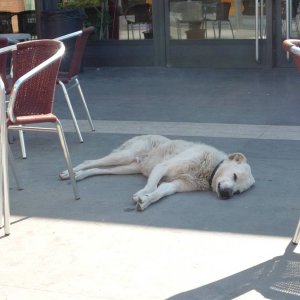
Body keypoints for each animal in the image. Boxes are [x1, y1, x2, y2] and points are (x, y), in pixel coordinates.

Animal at [59, 135, 254, 210]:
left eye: (238, 192)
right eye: (234, 176)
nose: (228, 194)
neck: (208, 170)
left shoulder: (175, 185)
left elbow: (160, 192)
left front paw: (145, 201)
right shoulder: (162, 167)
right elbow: (151, 186)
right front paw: (142, 194)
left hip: (127, 168)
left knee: (97, 169)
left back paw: (80, 175)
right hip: (124, 156)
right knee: (90, 162)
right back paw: (70, 173)